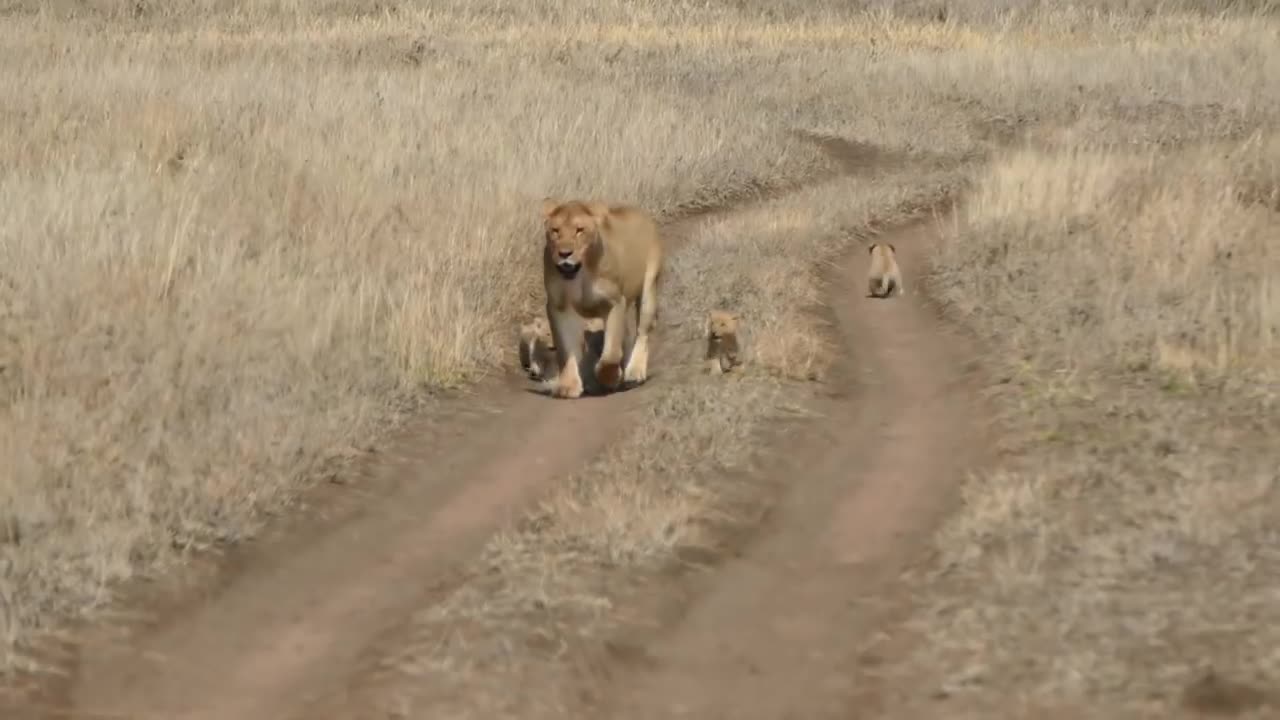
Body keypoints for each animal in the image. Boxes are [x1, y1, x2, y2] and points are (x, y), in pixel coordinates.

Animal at [540, 196, 665, 397]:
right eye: (555, 231)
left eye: (579, 230)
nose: (564, 254)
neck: (580, 273)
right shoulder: (559, 307)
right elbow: (566, 350)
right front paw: (569, 386)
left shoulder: (614, 302)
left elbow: (611, 351)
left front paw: (610, 377)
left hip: (649, 290)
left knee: (642, 333)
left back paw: (634, 372)